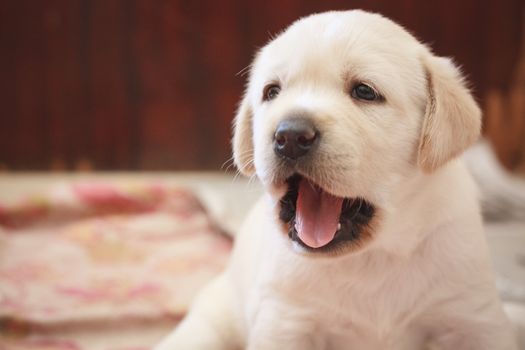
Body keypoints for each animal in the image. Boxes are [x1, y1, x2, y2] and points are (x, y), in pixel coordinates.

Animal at [157, 9, 516, 348]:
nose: (290, 136)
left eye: (365, 92)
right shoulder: (286, 320)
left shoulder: (473, 315)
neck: (373, 257)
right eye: (272, 92)